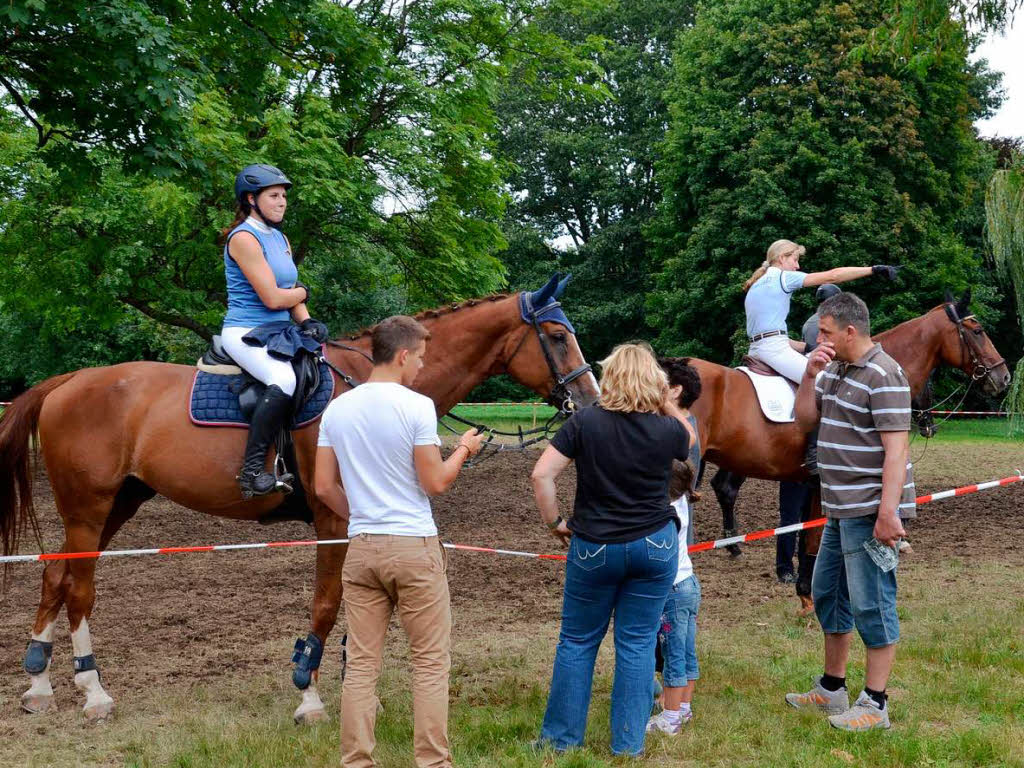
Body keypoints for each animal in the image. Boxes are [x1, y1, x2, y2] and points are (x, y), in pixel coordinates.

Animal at [0, 280, 598, 724]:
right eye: (555, 335)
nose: (590, 400)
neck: (371, 386)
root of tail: (70, 381)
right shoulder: (333, 520)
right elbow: (328, 604)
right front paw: (309, 695)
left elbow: (358, 608)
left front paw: (359, 690)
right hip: (89, 508)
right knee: (79, 588)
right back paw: (92, 690)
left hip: (116, 504)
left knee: (55, 575)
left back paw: (39, 684)